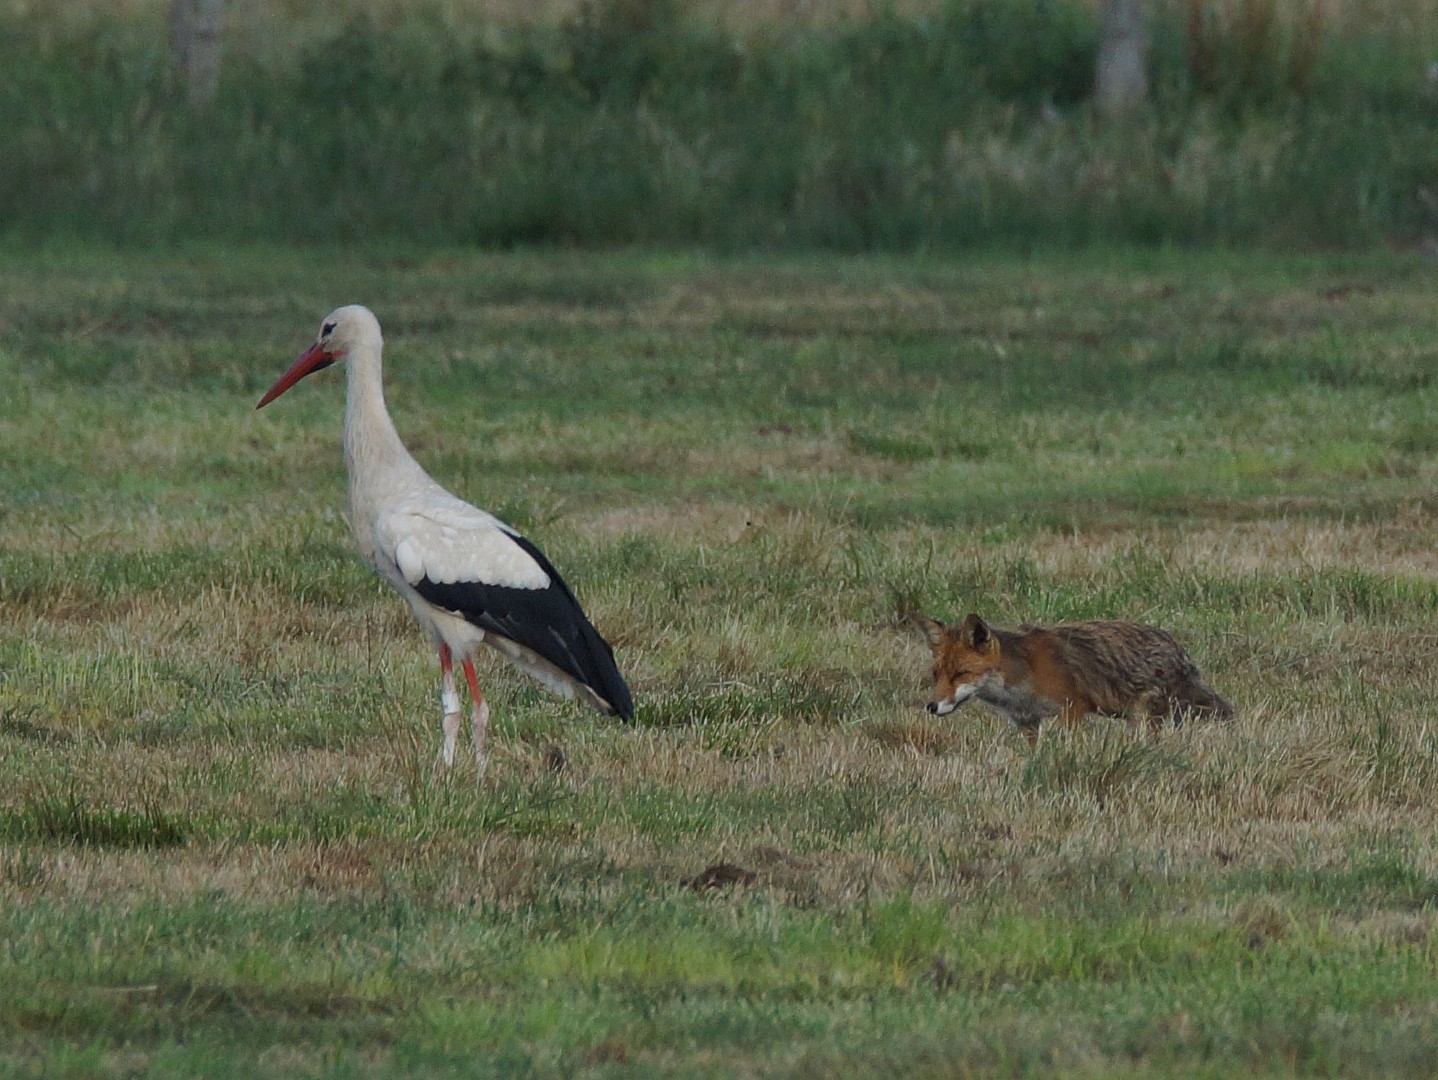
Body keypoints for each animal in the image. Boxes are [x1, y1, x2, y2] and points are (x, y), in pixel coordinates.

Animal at [916, 613, 1232, 744]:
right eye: (936, 675)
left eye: (961, 674)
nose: (931, 707)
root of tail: (1179, 650)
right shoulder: (1027, 723)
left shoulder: (1071, 712)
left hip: (1145, 718)